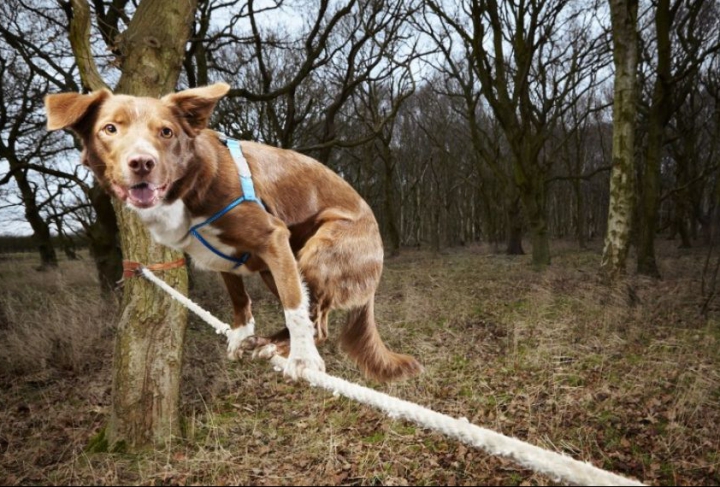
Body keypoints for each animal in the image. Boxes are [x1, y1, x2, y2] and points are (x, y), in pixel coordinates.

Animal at [45, 83, 422, 382]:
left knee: (316, 321)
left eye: (166, 132)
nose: (141, 163)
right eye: (109, 129)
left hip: (317, 252)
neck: (190, 184)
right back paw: (269, 344)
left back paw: (283, 349)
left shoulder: (272, 236)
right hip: (281, 266)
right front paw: (242, 336)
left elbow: (294, 306)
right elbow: (240, 298)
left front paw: (303, 360)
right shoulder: (223, 258)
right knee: (313, 317)